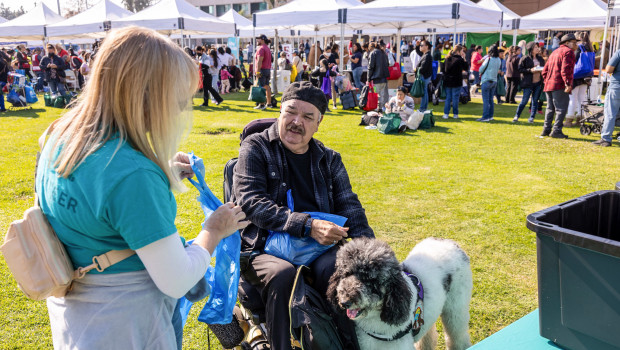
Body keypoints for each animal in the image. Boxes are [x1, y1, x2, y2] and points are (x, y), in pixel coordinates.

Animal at [326, 237, 472, 348]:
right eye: (346, 274)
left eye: (371, 280)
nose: (344, 302)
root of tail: (450, 242)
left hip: (455, 310)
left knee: (458, 336)